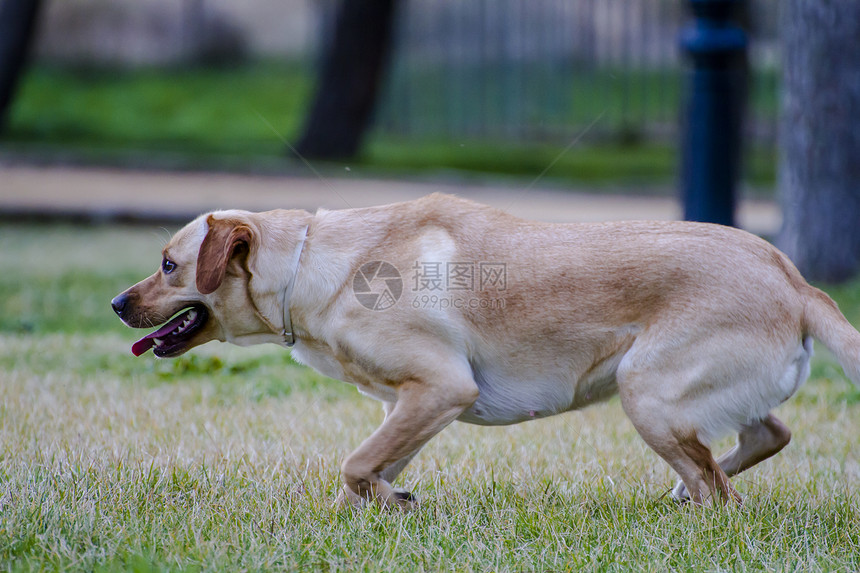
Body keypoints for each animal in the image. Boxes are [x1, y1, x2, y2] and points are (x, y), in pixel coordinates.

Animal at [112, 193, 860, 510]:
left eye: (168, 264)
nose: (118, 304)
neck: (312, 264)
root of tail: (796, 281)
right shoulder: (412, 404)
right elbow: (370, 466)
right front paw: (388, 500)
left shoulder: (442, 387)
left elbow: (354, 463)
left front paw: (390, 501)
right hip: (683, 398)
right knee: (766, 433)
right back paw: (680, 491)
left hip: (644, 389)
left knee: (722, 493)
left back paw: (696, 506)